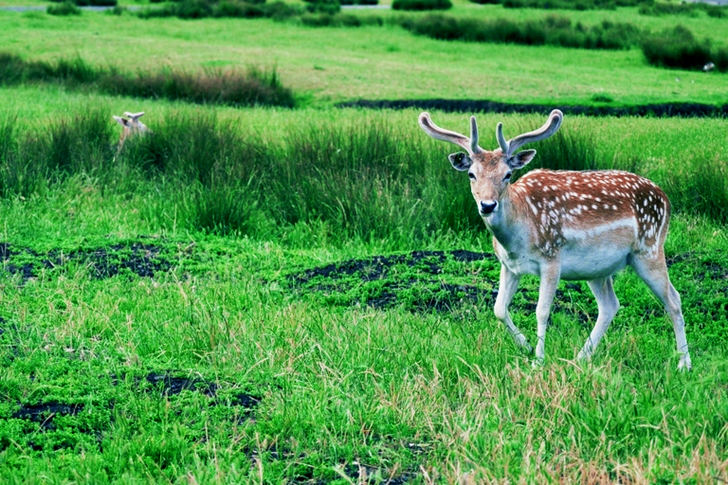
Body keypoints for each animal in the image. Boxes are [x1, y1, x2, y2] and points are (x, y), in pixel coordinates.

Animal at [418, 109, 691, 370]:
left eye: (508, 174)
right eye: (471, 174)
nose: (487, 205)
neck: (518, 236)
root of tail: (666, 198)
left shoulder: (552, 258)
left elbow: (541, 310)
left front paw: (538, 361)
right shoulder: (509, 265)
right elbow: (499, 309)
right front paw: (526, 347)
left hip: (650, 249)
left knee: (674, 300)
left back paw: (683, 364)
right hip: (597, 269)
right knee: (610, 305)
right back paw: (581, 358)